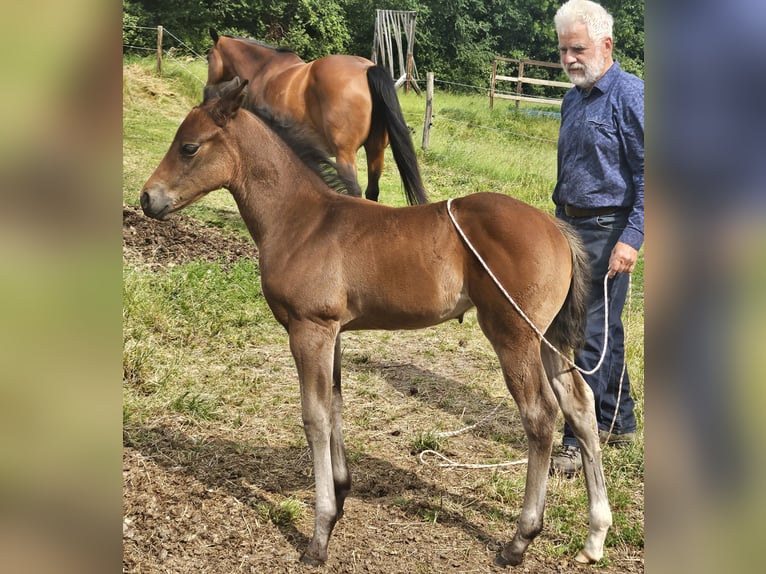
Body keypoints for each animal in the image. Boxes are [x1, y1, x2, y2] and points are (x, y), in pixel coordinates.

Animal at [140, 79, 612, 568]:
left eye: (189, 147)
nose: (147, 198)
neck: (302, 221)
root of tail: (558, 229)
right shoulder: (332, 332)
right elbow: (335, 405)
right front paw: (341, 495)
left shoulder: (309, 329)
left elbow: (313, 416)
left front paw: (320, 534)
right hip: (548, 337)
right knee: (581, 406)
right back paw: (595, 536)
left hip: (513, 335)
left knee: (540, 416)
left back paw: (519, 540)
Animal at [205, 28, 428, 206]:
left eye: (208, 57)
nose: (207, 93)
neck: (263, 69)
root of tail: (367, 69)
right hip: (375, 150)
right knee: (372, 191)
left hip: (345, 154)